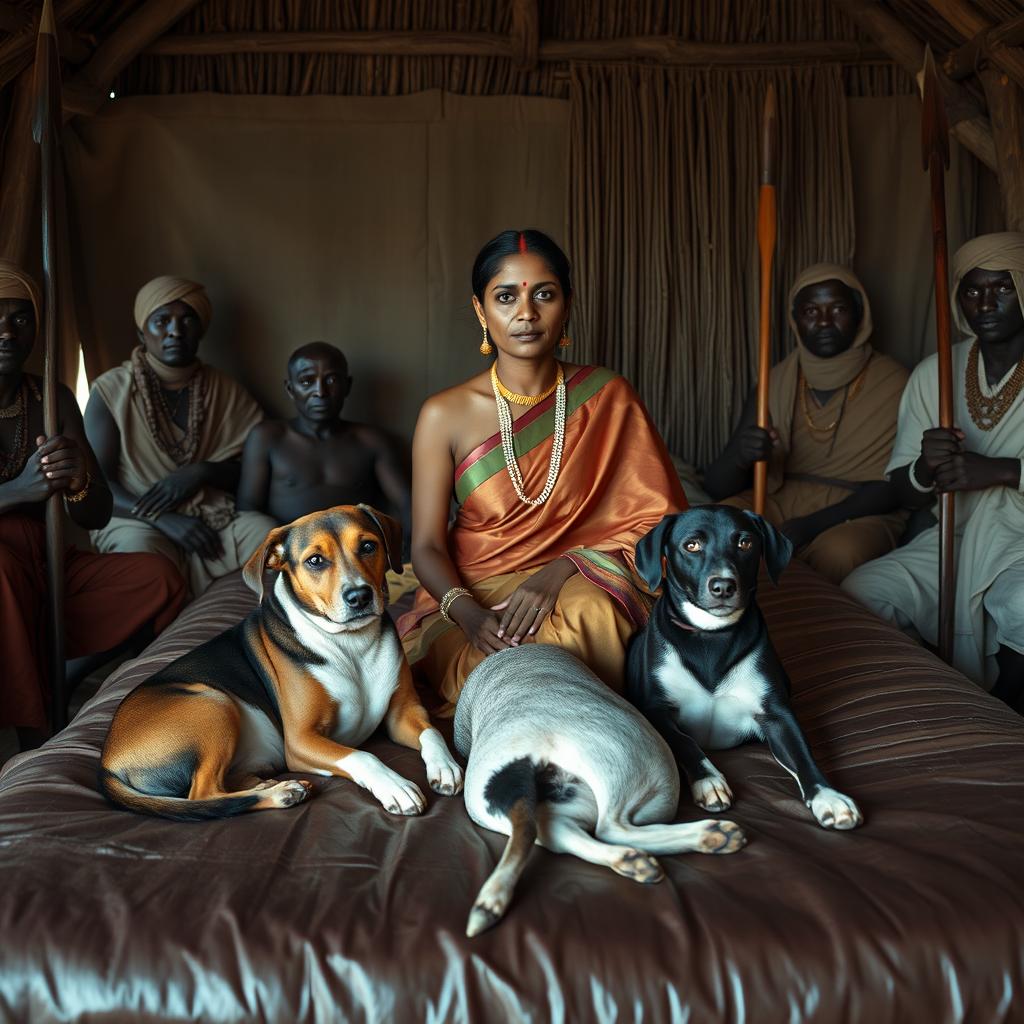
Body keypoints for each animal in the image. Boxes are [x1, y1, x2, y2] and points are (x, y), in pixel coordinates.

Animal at [98, 505, 460, 823]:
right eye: (315, 561)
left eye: (368, 546)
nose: (359, 596)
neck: (351, 643)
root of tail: (106, 763)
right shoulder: (301, 741)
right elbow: (364, 755)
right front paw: (395, 785)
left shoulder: (403, 712)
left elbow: (431, 732)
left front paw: (446, 766)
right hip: (211, 702)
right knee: (203, 794)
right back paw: (281, 792)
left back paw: (272, 784)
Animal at [626, 503, 860, 831]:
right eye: (691, 545)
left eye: (745, 543)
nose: (723, 586)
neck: (712, 635)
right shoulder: (655, 709)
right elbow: (685, 742)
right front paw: (709, 780)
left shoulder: (777, 715)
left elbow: (802, 754)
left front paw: (829, 795)